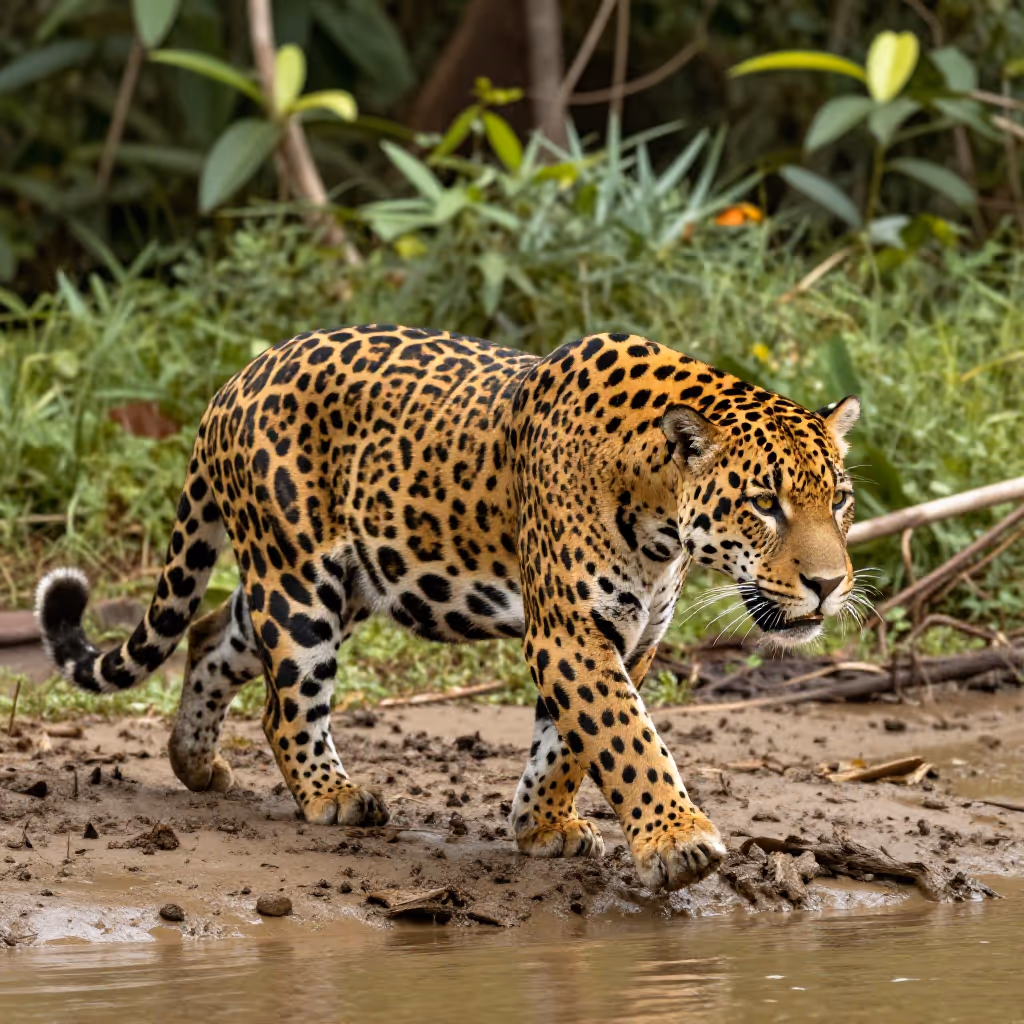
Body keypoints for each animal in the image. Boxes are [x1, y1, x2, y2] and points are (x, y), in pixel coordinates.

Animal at [35, 324, 861, 892]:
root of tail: (236, 379)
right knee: (283, 705)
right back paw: (333, 796)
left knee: (212, 631)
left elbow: (569, 741)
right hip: (300, 581)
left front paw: (542, 826)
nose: (830, 584)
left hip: (335, 582)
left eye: (842, 501)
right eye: (765, 503)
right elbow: (625, 736)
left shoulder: (628, 635)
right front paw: (678, 841)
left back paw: (196, 762)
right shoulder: (569, 632)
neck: (657, 514)